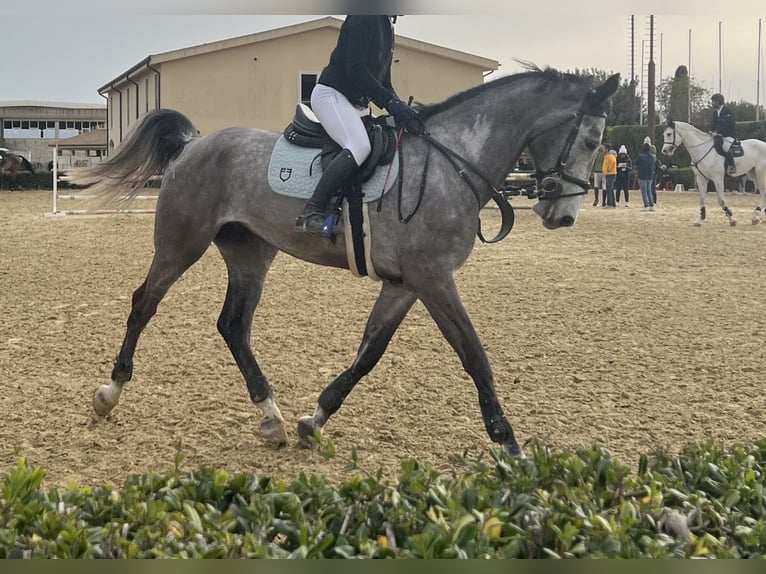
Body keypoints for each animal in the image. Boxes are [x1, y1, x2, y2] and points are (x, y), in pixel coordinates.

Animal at [75, 67, 620, 456]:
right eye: (591, 140)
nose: (564, 216)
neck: (453, 161)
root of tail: (193, 145)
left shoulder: (405, 284)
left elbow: (369, 353)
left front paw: (314, 419)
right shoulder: (434, 278)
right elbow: (474, 355)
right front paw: (509, 443)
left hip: (251, 252)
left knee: (233, 325)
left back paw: (271, 416)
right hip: (181, 244)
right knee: (144, 303)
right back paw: (110, 393)